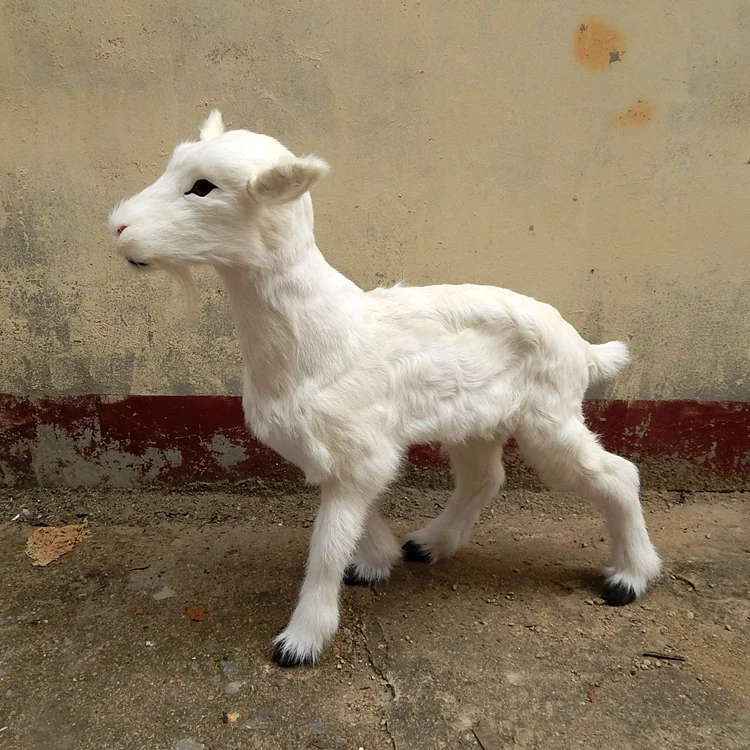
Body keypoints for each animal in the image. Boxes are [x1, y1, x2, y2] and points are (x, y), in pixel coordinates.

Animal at [109, 110, 661, 667]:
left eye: (203, 187)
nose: (118, 228)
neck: (325, 334)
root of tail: (583, 347)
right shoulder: (343, 450)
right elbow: (357, 515)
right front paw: (377, 560)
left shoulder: (358, 447)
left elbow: (328, 543)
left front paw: (302, 640)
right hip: (476, 422)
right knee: (485, 478)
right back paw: (429, 544)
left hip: (550, 415)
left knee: (618, 473)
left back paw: (629, 578)